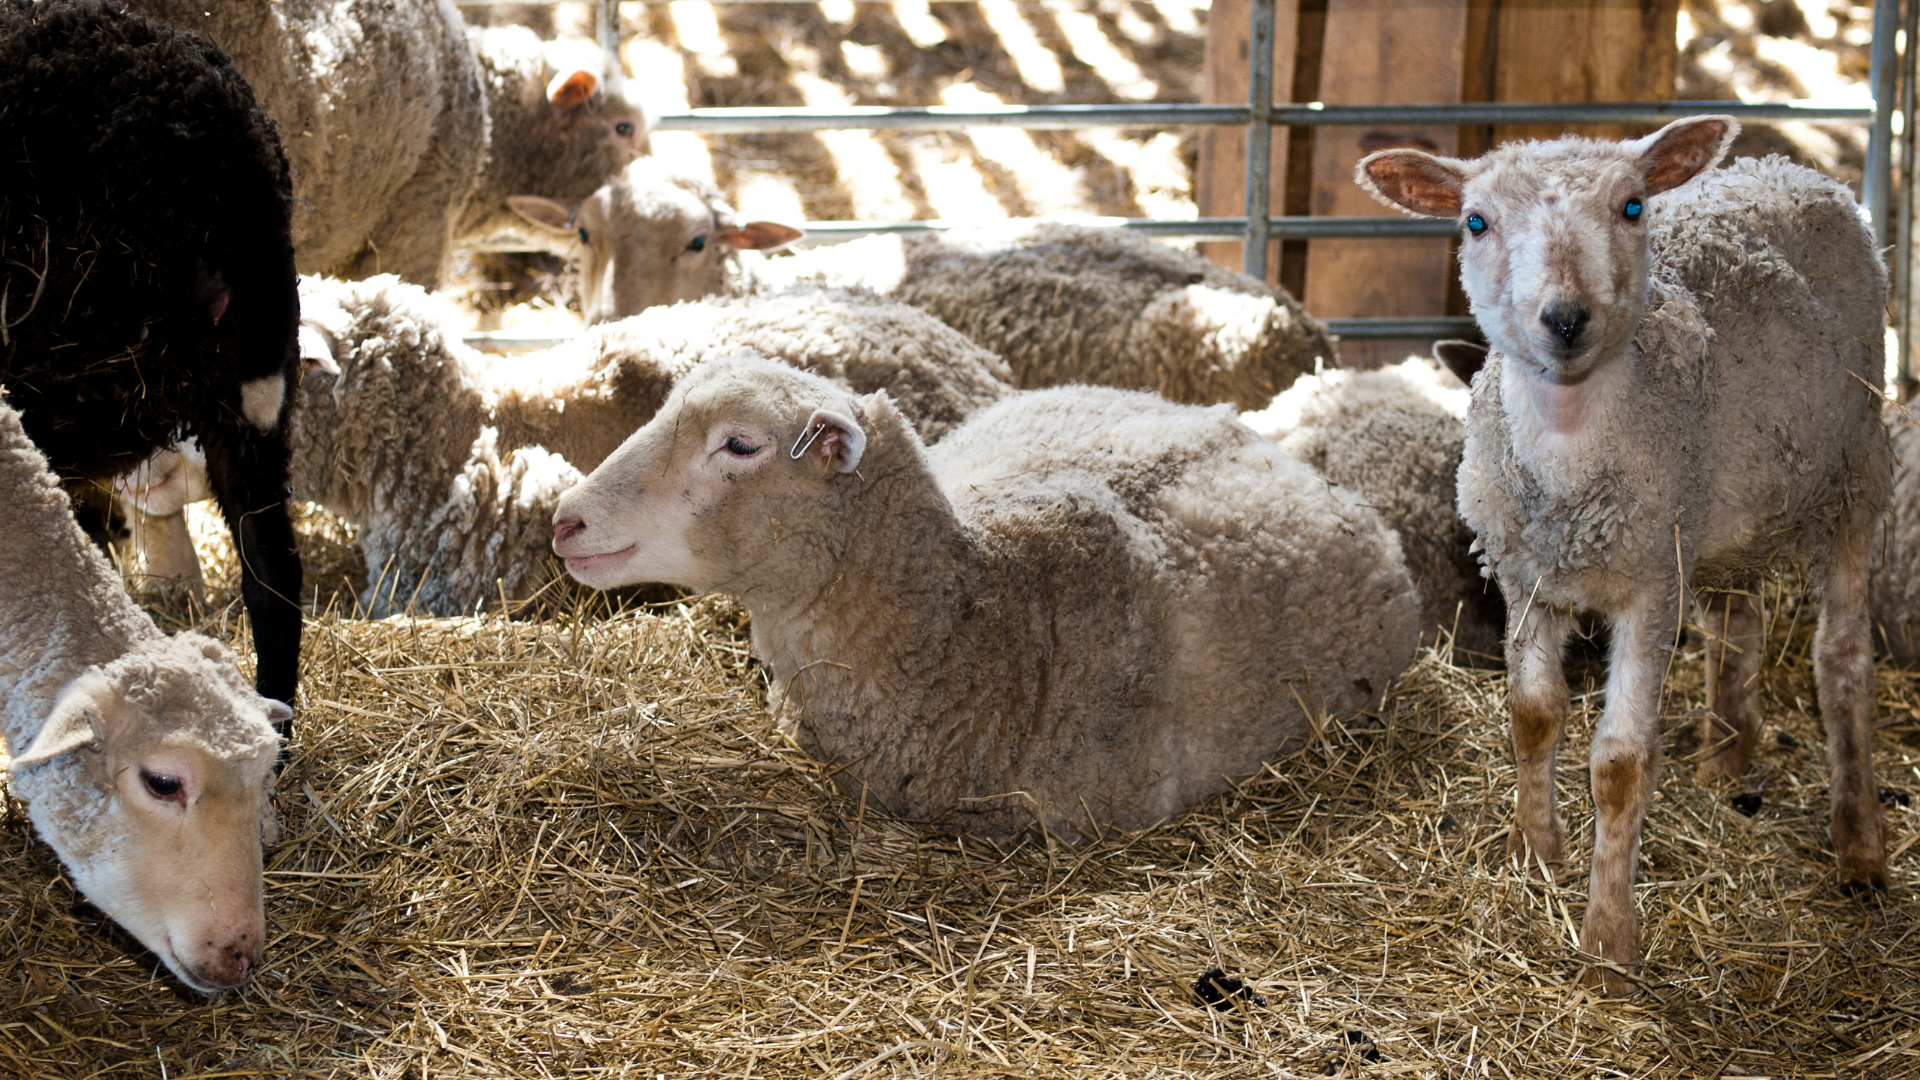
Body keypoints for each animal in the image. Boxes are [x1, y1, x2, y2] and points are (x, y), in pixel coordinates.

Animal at [1360, 120, 1893, 993]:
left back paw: (1860, 845)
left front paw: (1608, 941)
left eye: (1633, 206)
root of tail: (1790, 169)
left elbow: (1618, 763)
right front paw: (1535, 848)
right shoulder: (1528, 575)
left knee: (1841, 657)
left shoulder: (1648, 589)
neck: (1571, 441)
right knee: (1737, 619)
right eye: (1475, 220)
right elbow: (1532, 714)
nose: (1565, 317)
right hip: (1724, 519)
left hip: (1854, 473)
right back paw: (1725, 758)